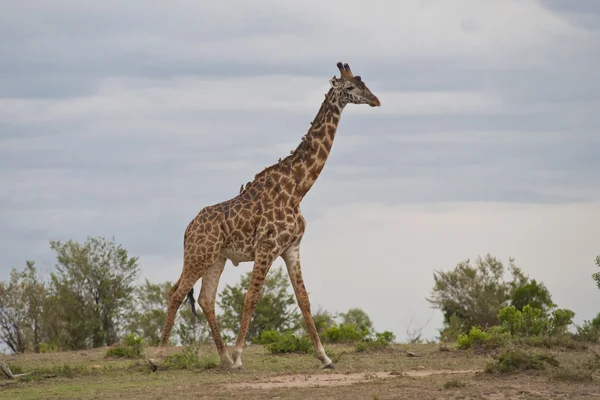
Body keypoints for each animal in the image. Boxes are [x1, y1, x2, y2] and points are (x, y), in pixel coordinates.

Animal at [154, 61, 380, 370]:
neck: (298, 188)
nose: (375, 100)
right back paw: (159, 358)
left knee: (205, 299)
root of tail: (188, 229)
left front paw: (325, 357)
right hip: (199, 255)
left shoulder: (291, 248)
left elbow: (304, 299)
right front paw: (240, 356)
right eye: (350, 87)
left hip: (216, 258)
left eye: (363, 83)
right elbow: (251, 298)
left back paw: (223, 358)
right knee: (176, 293)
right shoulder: (267, 247)